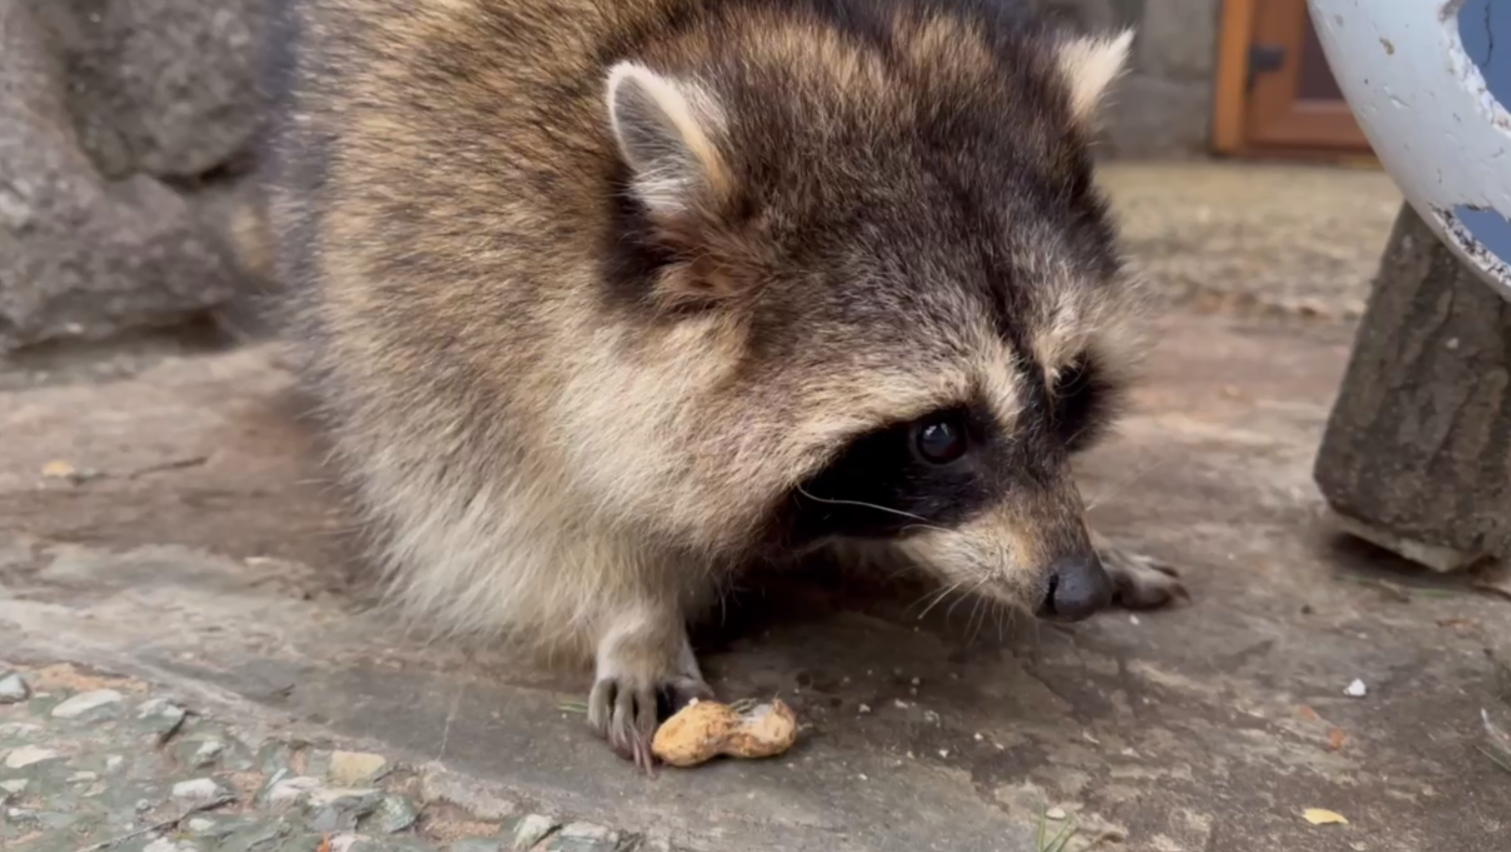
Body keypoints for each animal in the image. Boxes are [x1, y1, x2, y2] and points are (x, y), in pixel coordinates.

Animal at [262, 0, 1190, 767]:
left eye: (1065, 389)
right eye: (938, 435)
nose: (1076, 587)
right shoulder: (442, 270)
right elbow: (511, 499)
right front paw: (631, 606)